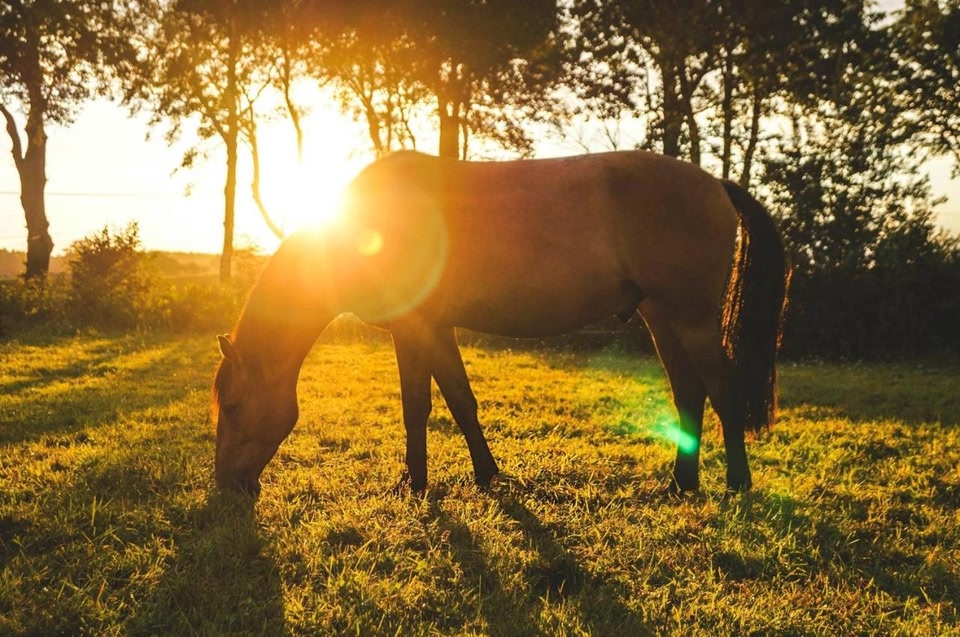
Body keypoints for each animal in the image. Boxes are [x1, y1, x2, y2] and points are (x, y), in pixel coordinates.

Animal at [213, 150, 790, 497]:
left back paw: (737, 482)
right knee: (690, 392)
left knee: (722, 389)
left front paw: (413, 484)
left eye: (234, 406)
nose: (227, 486)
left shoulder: (413, 328)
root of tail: (714, 181)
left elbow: (417, 407)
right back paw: (681, 484)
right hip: (661, 317)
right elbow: (460, 402)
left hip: (691, 319)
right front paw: (486, 474)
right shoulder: (438, 329)